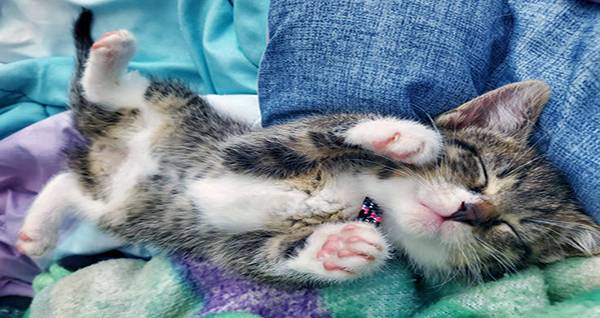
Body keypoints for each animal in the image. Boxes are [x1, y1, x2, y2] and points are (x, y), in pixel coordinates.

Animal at [16, 10, 596, 286]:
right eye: (478, 171)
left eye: (512, 232)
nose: (471, 211)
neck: (366, 200)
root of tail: (102, 150)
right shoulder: (243, 148)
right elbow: (314, 132)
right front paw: (403, 137)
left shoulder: (229, 248)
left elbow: (270, 260)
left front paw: (342, 249)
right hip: (163, 106)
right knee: (107, 93)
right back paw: (111, 57)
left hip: (117, 213)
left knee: (71, 184)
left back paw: (35, 231)